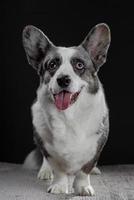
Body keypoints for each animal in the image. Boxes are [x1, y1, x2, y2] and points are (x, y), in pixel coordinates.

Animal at [22, 23, 110, 195]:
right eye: (52, 65)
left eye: (79, 65)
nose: (63, 79)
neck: (69, 115)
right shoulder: (47, 146)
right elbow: (57, 167)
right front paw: (59, 186)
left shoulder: (97, 143)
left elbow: (85, 168)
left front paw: (83, 186)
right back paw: (45, 171)